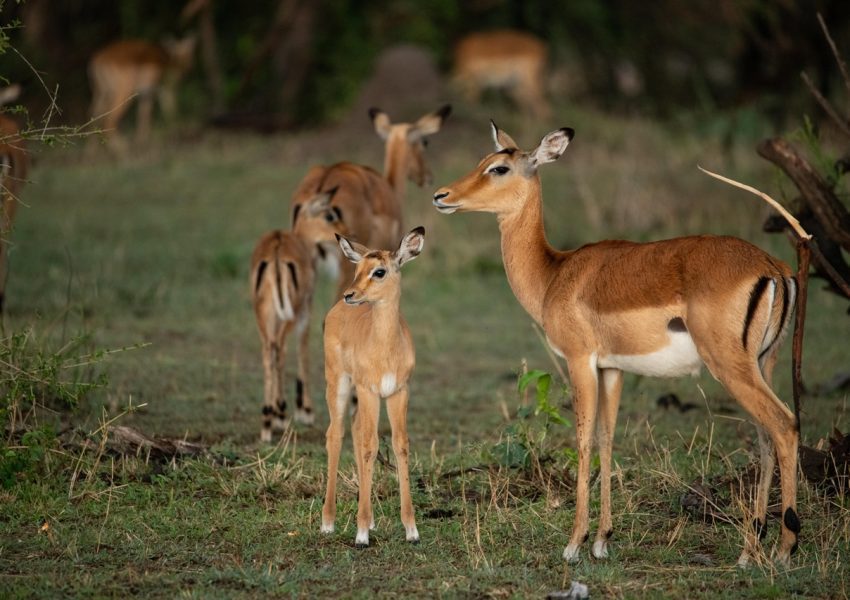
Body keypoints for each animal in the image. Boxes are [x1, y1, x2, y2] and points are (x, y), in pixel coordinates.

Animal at [250, 190, 347, 442]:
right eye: (330, 215)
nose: (346, 234)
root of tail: (276, 251)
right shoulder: (305, 312)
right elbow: (302, 346)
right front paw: (305, 412)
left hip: (263, 315)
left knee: (268, 350)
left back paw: (266, 420)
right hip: (288, 314)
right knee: (280, 349)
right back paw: (277, 417)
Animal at [321, 227, 425, 547]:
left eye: (379, 271)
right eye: (357, 269)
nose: (350, 294)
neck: (386, 348)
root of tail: (336, 310)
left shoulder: (398, 392)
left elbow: (400, 445)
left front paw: (411, 530)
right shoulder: (369, 391)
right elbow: (370, 446)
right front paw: (361, 534)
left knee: (355, 431)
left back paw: (372, 520)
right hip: (339, 384)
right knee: (336, 434)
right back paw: (328, 522)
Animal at [432, 122, 801, 567]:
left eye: (498, 168)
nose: (441, 196)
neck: (554, 274)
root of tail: (774, 268)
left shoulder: (579, 360)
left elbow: (583, 439)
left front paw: (574, 544)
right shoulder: (612, 368)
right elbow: (607, 439)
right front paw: (602, 540)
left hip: (730, 366)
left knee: (784, 424)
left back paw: (784, 549)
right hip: (763, 363)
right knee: (766, 436)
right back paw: (750, 550)